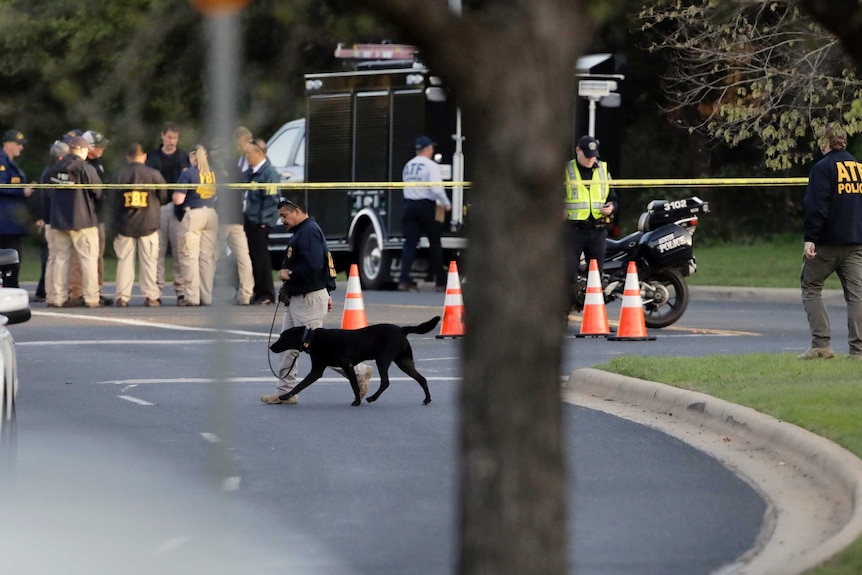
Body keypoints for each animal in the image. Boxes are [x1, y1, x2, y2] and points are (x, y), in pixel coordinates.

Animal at [270, 318, 442, 408]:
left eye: (282, 337)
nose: (271, 347)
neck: (311, 338)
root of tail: (402, 329)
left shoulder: (347, 365)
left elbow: (354, 385)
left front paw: (357, 401)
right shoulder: (317, 370)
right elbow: (300, 385)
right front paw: (285, 396)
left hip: (382, 359)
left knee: (385, 382)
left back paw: (372, 398)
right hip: (404, 361)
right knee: (421, 379)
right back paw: (427, 399)